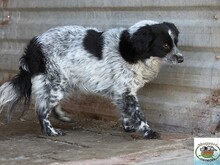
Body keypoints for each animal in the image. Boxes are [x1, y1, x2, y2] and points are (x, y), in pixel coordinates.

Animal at [0, 20, 183, 139]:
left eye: (176, 42)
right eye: (165, 46)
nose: (181, 58)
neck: (131, 49)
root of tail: (34, 45)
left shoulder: (121, 91)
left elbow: (126, 112)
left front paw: (129, 127)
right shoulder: (126, 91)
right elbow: (138, 114)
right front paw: (148, 132)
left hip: (62, 82)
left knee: (49, 105)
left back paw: (62, 117)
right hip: (56, 82)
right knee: (41, 109)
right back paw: (51, 132)